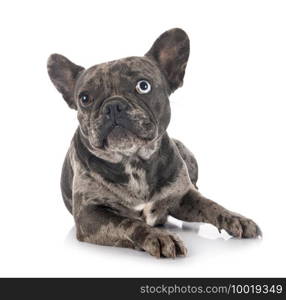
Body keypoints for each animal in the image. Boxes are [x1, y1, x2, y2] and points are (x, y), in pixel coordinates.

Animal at [47, 27, 262, 258]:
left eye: (143, 86)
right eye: (85, 99)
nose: (113, 105)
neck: (133, 160)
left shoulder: (183, 197)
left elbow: (211, 205)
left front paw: (235, 218)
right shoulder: (90, 214)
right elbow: (128, 223)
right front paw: (159, 236)